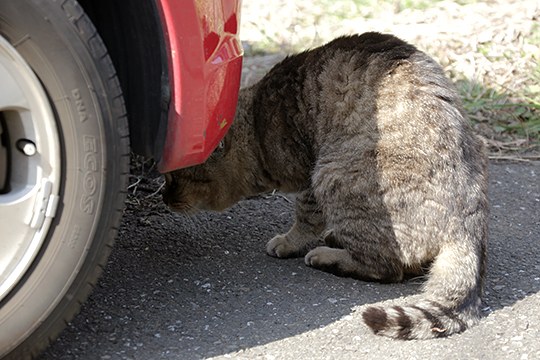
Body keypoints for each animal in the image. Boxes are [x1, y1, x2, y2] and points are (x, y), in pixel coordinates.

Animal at [162, 32, 488, 338]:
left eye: (174, 177)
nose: (164, 198)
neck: (258, 126)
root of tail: (468, 225)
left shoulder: (310, 174)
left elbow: (305, 218)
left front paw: (289, 241)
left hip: (335, 174)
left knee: (387, 267)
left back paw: (328, 256)